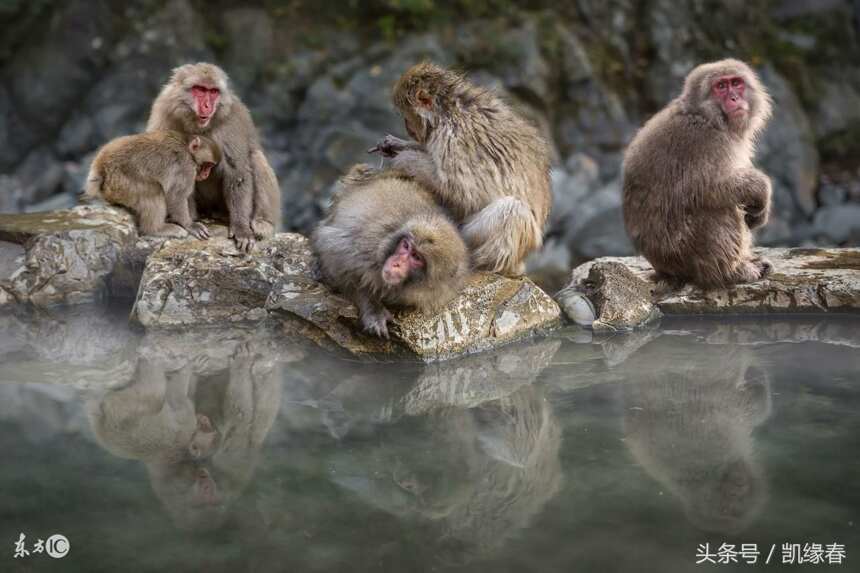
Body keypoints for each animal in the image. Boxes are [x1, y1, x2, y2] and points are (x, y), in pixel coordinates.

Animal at [85, 131, 220, 238]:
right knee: (154, 191)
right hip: (123, 182)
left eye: (211, 166)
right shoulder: (186, 167)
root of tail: (101, 166)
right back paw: (156, 229)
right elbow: (176, 196)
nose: (206, 174)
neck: (187, 148)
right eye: (207, 165)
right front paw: (190, 224)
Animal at [146, 62, 280, 250]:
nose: (208, 106)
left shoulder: (231, 120)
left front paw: (241, 228)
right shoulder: (164, 112)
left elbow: (237, 171)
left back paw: (262, 222)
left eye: (213, 92)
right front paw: (189, 223)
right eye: (200, 89)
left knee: (256, 157)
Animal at [310, 163, 466, 338]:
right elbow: (338, 264)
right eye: (406, 246)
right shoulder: (368, 245)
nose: (396, 263)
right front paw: (373, 310)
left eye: (416, 257)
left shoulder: (441, 291)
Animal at [370, 63, 552, 278]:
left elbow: (462, 192)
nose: (408, 129)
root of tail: (519, 263)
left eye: (406, 116)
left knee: (513, 211)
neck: (447, 110)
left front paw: (404, 159)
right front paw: (396, 145)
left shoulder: (454, 137)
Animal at [620, 59, 768, 288]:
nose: (734, 98)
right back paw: (730, 273)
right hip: (685, 252)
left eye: (736, 83)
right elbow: (709, 188)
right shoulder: (707, 143)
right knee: (718, 208)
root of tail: (664, 270)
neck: (706, 116)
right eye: (721, 87)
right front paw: (761, 190)